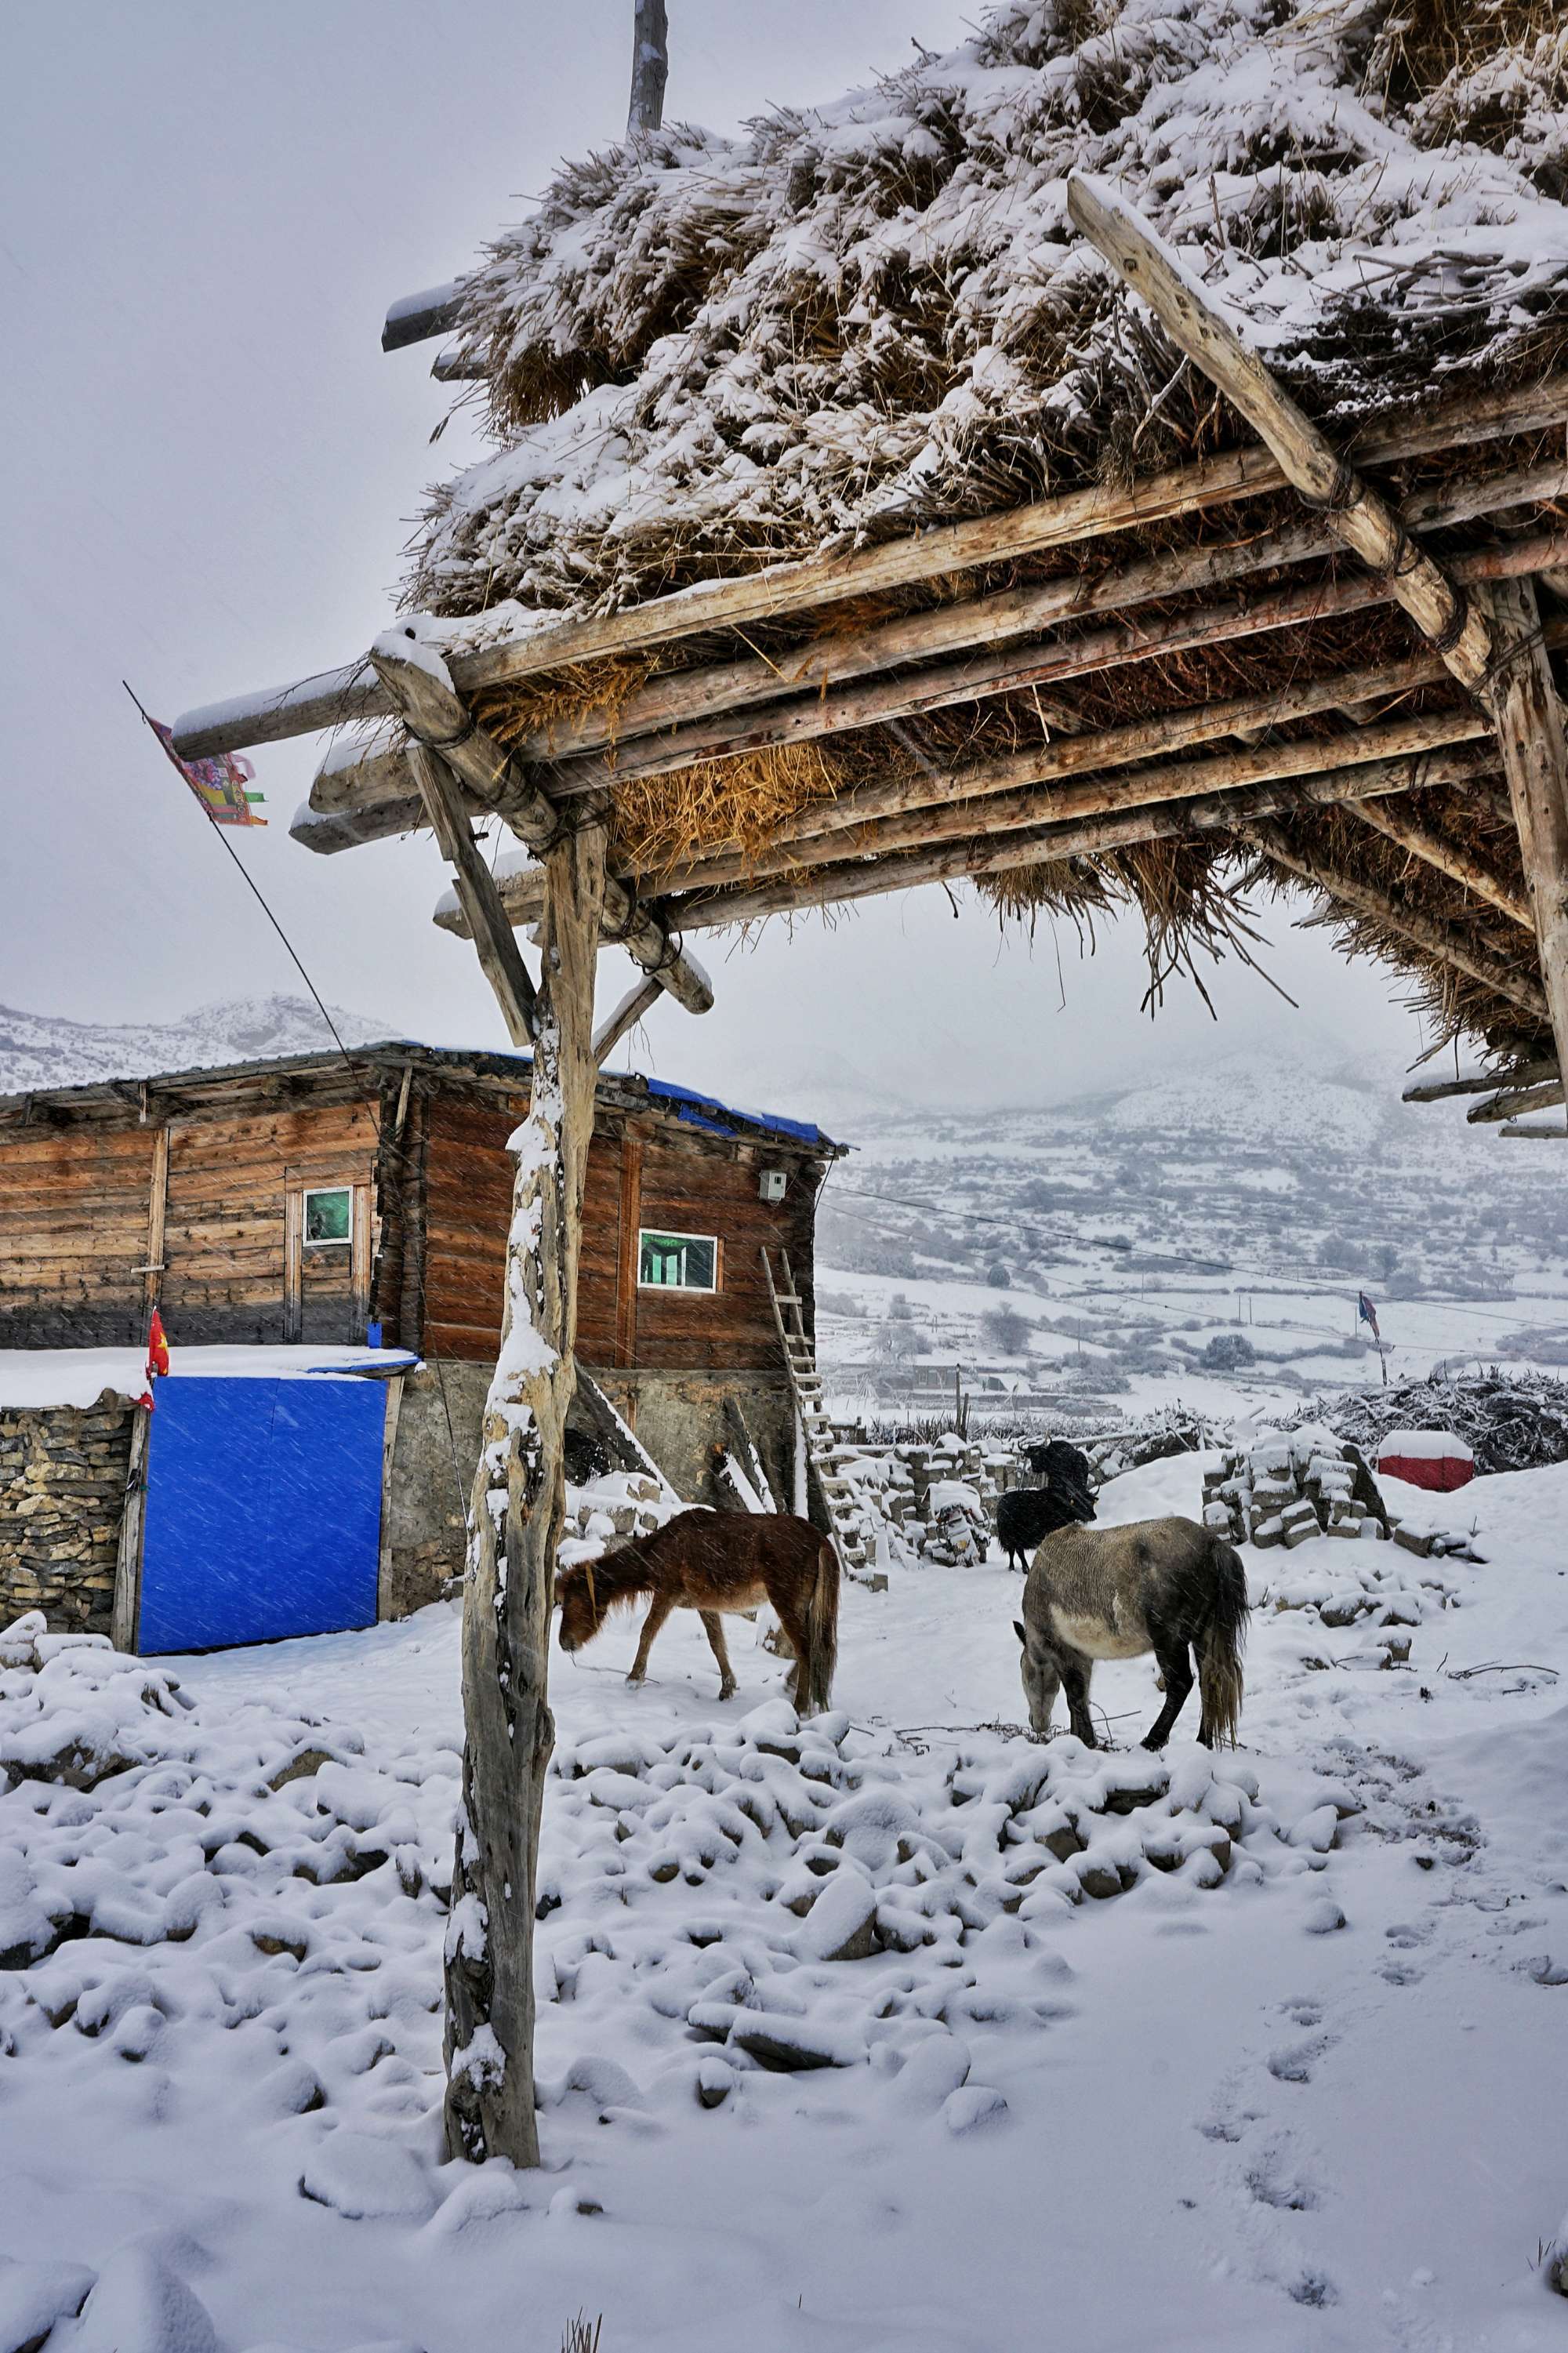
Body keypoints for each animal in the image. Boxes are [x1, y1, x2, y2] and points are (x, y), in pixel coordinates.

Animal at [555, 1505, 838, 1712]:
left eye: (573, 1601)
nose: (564, 1643)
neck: (663, 1548)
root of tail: (820, 1541)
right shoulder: (706, 1606)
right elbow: (717, 1644)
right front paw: (727, 1687)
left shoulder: (666, 1593)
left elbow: (647, 1632)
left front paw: (634, 1679)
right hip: (802, 1605)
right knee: (813, 1646)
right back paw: (794, 1688)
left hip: (786, 1601)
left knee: (806, 1649)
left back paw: (800, 1705)